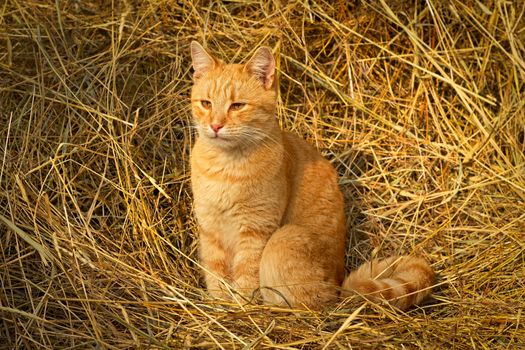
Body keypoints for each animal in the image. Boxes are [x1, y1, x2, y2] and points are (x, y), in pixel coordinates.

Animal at [189, 42, 434, 310]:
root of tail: (337, 286)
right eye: (206, 103)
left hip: (284, 238)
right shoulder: (210, 229)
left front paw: (242, 306)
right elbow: (215, 272)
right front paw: (220, 302)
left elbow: (246, 275)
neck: (225, 167)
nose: (215, 126)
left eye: (237, 106)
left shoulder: (256, 230)